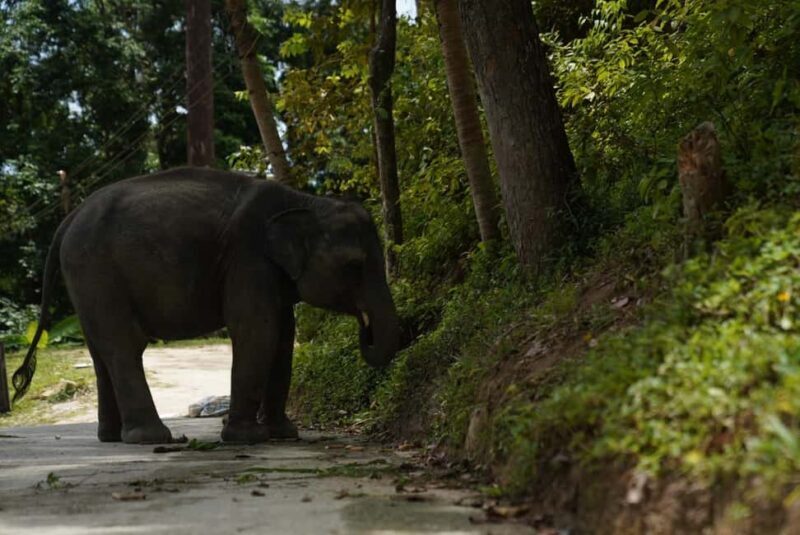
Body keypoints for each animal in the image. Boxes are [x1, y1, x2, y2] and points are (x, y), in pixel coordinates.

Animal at [13, 167, 400, 444]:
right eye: (354, 266)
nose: (365, 331)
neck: (306, 200)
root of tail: (68, 219)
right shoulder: (247, 257)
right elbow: (257, 331)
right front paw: (248, 438)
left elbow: (283, 339)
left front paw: (284, 434)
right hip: (96, 270)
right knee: (124, 346)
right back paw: (153, 439)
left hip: (85, 279)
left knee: (100, 351)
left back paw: (111, 438)